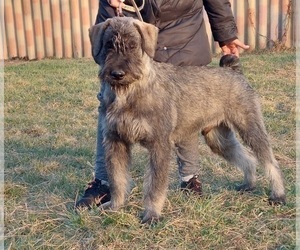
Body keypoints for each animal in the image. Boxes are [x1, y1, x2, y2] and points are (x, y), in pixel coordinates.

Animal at [88, 16, 286, 224]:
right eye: (108, 44)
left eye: (133, 45)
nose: (117, 74)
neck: (129, 92)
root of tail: (234, 71)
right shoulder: (115, 142)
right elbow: (117, 180)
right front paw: (114, 207)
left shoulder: (159, 145)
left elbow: (154, 185)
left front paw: (151, 214)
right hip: (218, 139)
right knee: (247, 158)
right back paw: (248, 185)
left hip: (250, 128)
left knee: (269, 161)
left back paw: (278, 195)